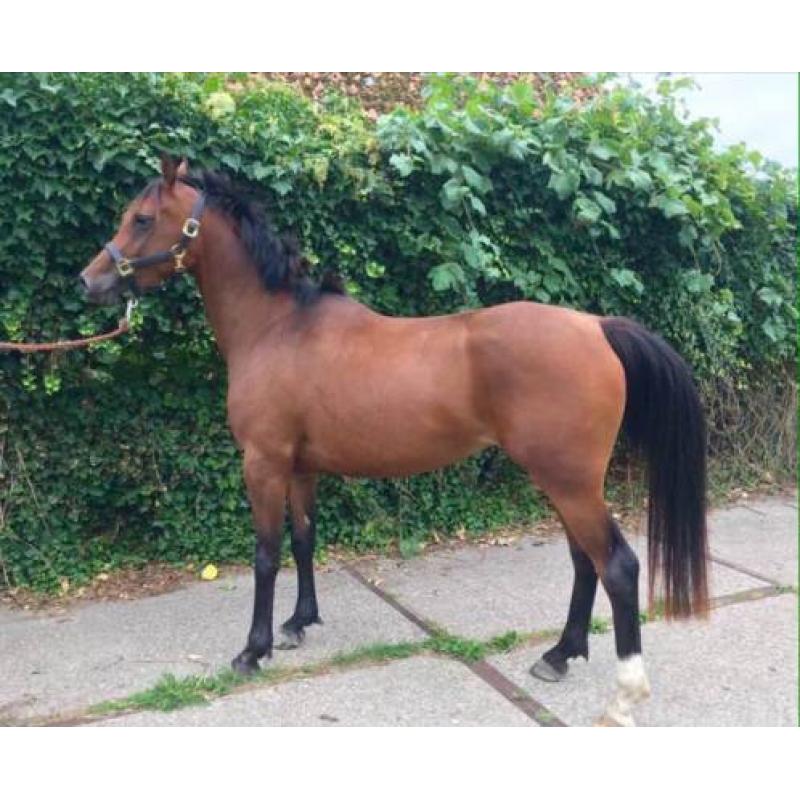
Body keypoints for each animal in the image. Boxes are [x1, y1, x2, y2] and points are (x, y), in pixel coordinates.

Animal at [79, 155, 709, 726]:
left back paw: (623, 698)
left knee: (617, 566)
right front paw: (299, 622)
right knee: (585, 562)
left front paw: (253, 650)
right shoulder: (301, 467)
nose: (90, 281)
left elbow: (266, 555)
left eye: (141, 218)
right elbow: (304, 539)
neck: (278, 328)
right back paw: (559, 655)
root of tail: (595, 326)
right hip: (563, 482)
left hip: (570, 482)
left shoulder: (263, 463)